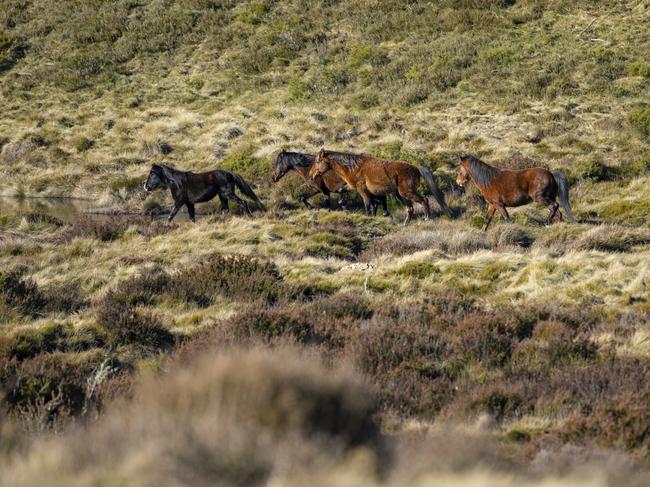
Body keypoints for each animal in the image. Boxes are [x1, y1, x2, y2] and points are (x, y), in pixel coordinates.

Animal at [308, 149, 450, 225]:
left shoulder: (362, 190)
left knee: (424, 200)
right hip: (400, 195)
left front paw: (368, 217)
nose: (311, 176)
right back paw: (405, 224)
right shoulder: (354, 187)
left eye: (318, 161)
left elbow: (367, 203)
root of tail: (416, 168)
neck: (353, 167)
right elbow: (342, 190)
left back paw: (427, 218)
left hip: (406, 192)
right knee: (410, 208)